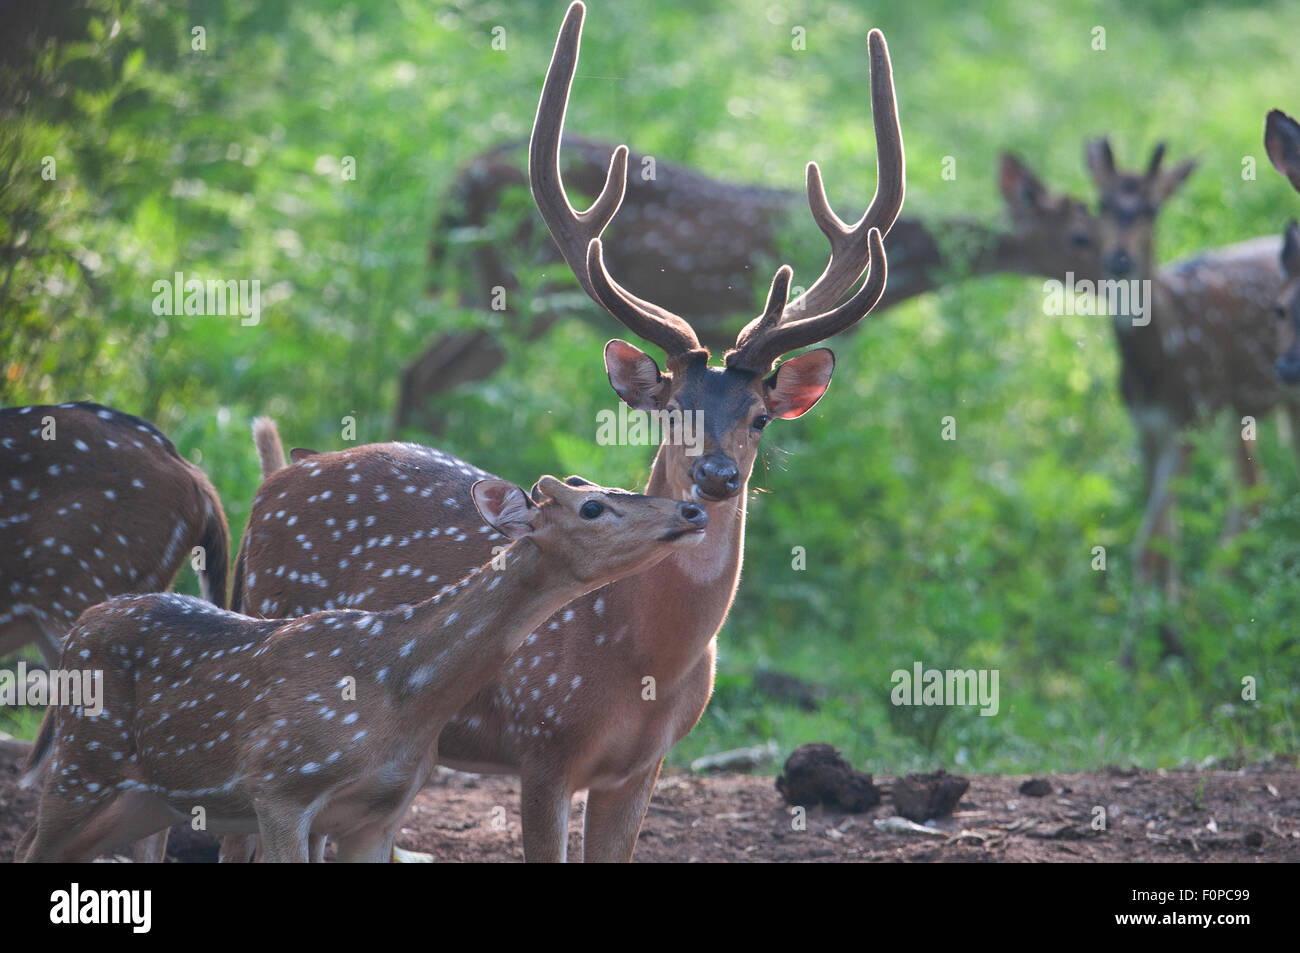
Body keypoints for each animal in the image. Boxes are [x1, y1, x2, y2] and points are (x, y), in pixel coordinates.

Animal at [15, 475, 707, 863]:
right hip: (82, 762)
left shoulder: (378, 816)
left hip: (146, 800)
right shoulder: (280, 786)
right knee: (30, 844)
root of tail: (79, 627)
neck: (398, 697)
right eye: (592, 508)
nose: (692, 511)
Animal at [236, 1, 904, 863]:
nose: (716, 477)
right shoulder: (543, 742)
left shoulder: (643, 767)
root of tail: (270, 482)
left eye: (759, 415)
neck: (640, 662)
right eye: (669, 405)